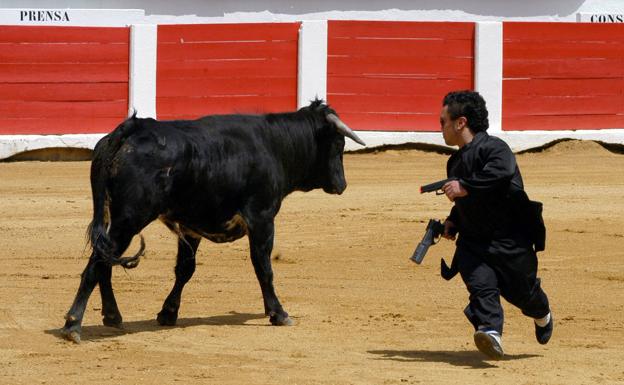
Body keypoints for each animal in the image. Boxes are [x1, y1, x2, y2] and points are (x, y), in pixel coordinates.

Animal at [60, 100, 366, 342]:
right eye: (338, 144)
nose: (342, 185)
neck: (274, 146)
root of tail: (131, 128)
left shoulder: (190, 227)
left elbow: (185, 269)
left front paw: (168, 313)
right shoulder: (262, 218)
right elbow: (263, 267)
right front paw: (278, 313)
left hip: (115, 218)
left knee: (105, 262)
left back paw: (112, 316)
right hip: (130, 218)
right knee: (97, 264)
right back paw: (73, 324)